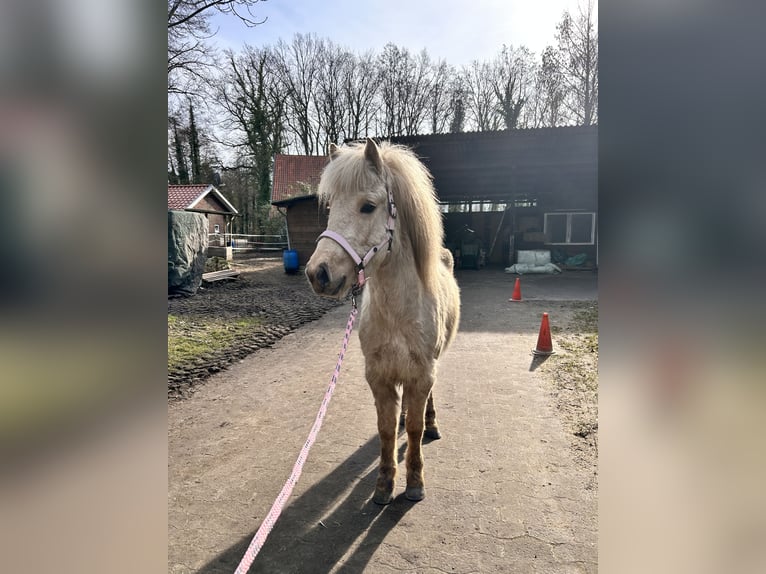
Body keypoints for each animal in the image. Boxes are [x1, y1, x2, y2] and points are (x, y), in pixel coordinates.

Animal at [305, 138, 460, 504]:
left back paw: (433, 424)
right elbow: (386, 429)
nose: (318, 273)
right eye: (331, 206)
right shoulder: (379, 376)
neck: (397, 313)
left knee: (426, 407)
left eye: (368, 206)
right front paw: (384, 485)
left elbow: (415, 431)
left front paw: (415, 483)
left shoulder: (422, 373)